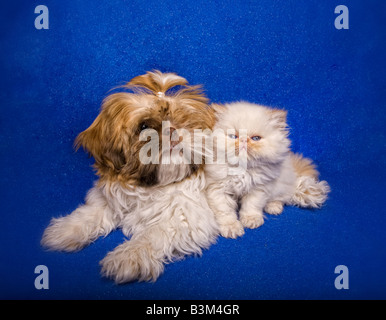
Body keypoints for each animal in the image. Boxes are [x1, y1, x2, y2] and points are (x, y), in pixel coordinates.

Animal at [41, 70, 219, 282]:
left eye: (182, 119)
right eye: (143, 127)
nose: (172, 130)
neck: (151, 187)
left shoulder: (187, 216)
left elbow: (154, 234)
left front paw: (129, 256)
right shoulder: (113, 197)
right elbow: (92, 212)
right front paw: (66, 229)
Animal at [205, 101, 328, 239]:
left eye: (256, 139)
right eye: (233, 136)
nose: (243, 140)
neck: (243, 170)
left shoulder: (259, 188)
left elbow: (251, 206)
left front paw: (251, 220)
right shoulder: (218, 190)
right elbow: (225, 212)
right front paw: (231, 227)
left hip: (281, 184)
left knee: (282, 197)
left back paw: (273, 207)